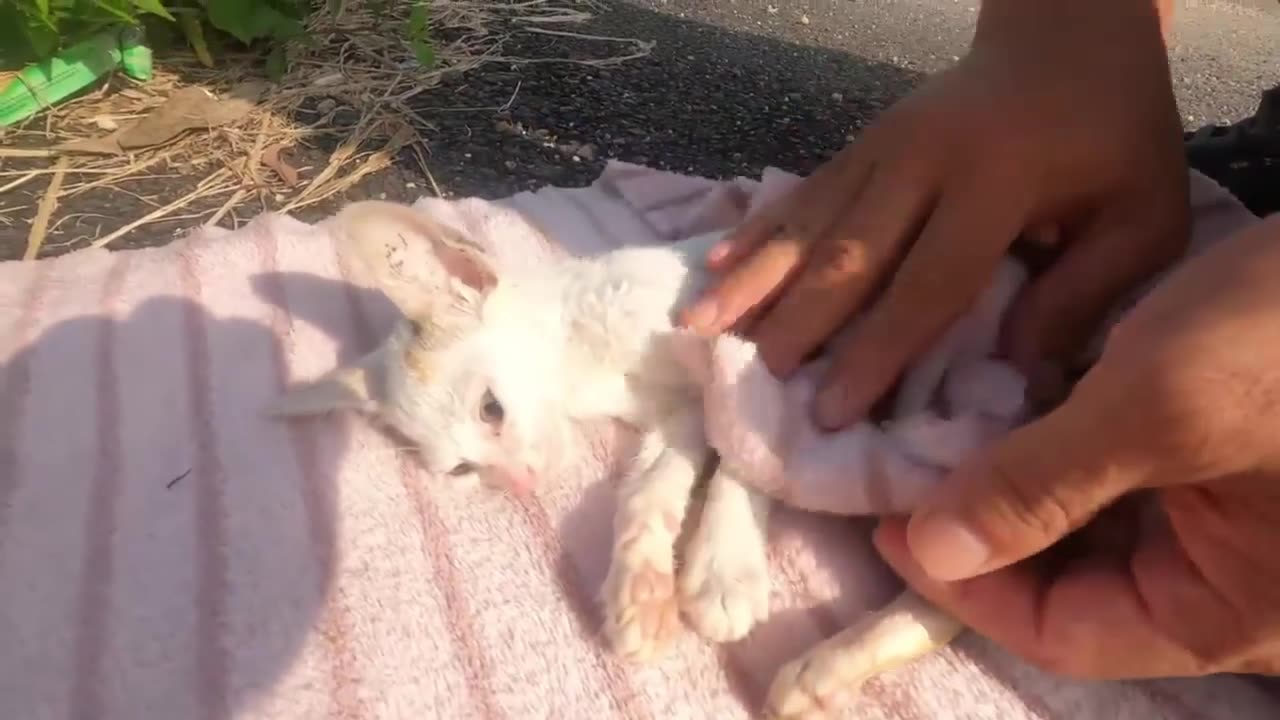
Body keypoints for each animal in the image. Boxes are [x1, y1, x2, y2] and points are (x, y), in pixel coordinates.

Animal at [270, 198, 962, 712]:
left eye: (491, 410)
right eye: (462, 470)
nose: (518, 484)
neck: (591, 360)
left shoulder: (772, 343)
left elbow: (750, 446)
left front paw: (724, 567)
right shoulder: (678, 412)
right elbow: (652, 486)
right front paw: (642, 590)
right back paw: (823, 673)